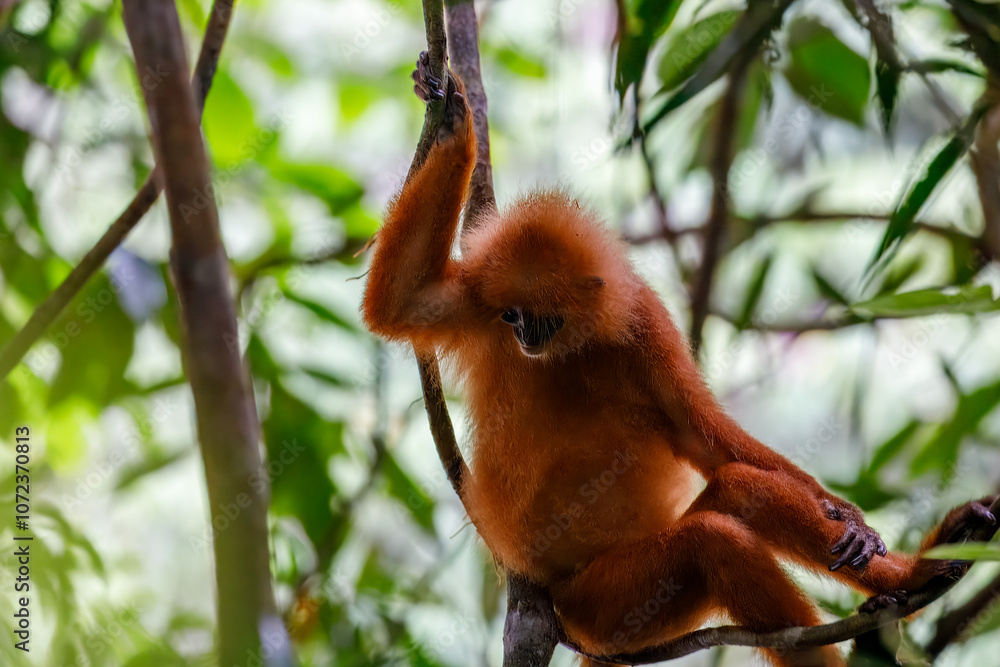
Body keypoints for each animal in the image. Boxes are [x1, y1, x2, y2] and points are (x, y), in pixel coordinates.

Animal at [361, 55, 999, 667]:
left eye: (544, 320)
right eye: (513, 316)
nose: (524, 339)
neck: (568, 352)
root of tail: (572, 625)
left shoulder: (645, 323)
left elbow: (701, 436)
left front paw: (851, 517)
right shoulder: (479, 302)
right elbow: (400, 304)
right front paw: (452, 123)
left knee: (740, 486)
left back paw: (912, 578)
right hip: (609, 609)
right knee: (714, 541)